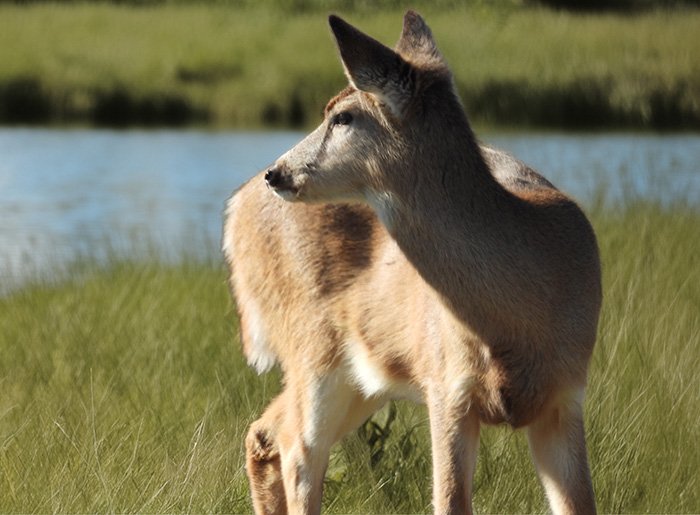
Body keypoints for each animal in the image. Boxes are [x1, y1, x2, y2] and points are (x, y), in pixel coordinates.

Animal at [223, 11, 601, 515]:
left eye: (343, 116)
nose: (277, 172)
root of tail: (236, 206)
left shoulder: (567, 394)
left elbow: (579, 503)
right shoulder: (446, 386)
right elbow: (450, 501)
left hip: (360, 376)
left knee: (266, 433)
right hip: (311, 348)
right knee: (298, 452)